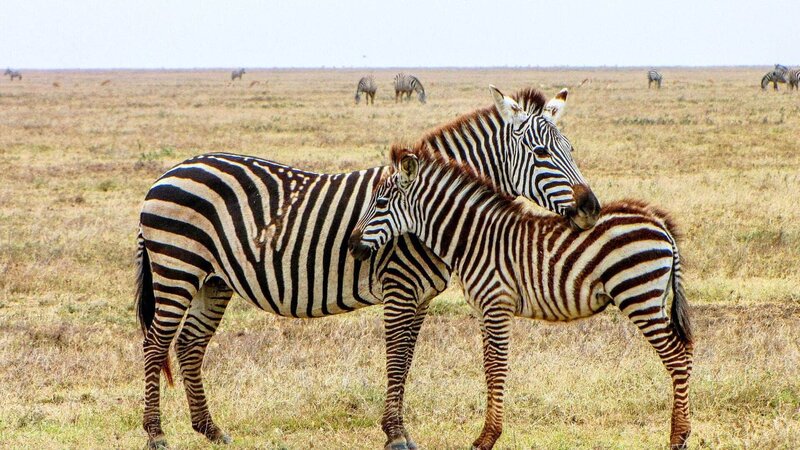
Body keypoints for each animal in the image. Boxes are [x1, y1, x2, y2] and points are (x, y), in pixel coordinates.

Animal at [135, 85, 600, 450]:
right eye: (541, 153)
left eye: (571, 150)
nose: (592, 208)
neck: (426, 208)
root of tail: (169, 172)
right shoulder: (399, 287)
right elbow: (395, 356)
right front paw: (395, 435)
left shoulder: (421, 296)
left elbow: (407, 358)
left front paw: (400, 430)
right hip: (177, 268)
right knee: (157, 343)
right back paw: (156, 434)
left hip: (213, 280)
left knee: (189, 345)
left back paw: (210, 430)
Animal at [349, 145, 694, 450]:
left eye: (381, 203)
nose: (352, 245)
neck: (474, 239)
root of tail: (658, 222)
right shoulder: (484, 309)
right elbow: (489, 366)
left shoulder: (497, 304)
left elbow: (496, 367)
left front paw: (487, 438)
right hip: (650, 298)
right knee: (686, 353)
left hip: (639, 296)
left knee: (677, 356)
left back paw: (678, 438)